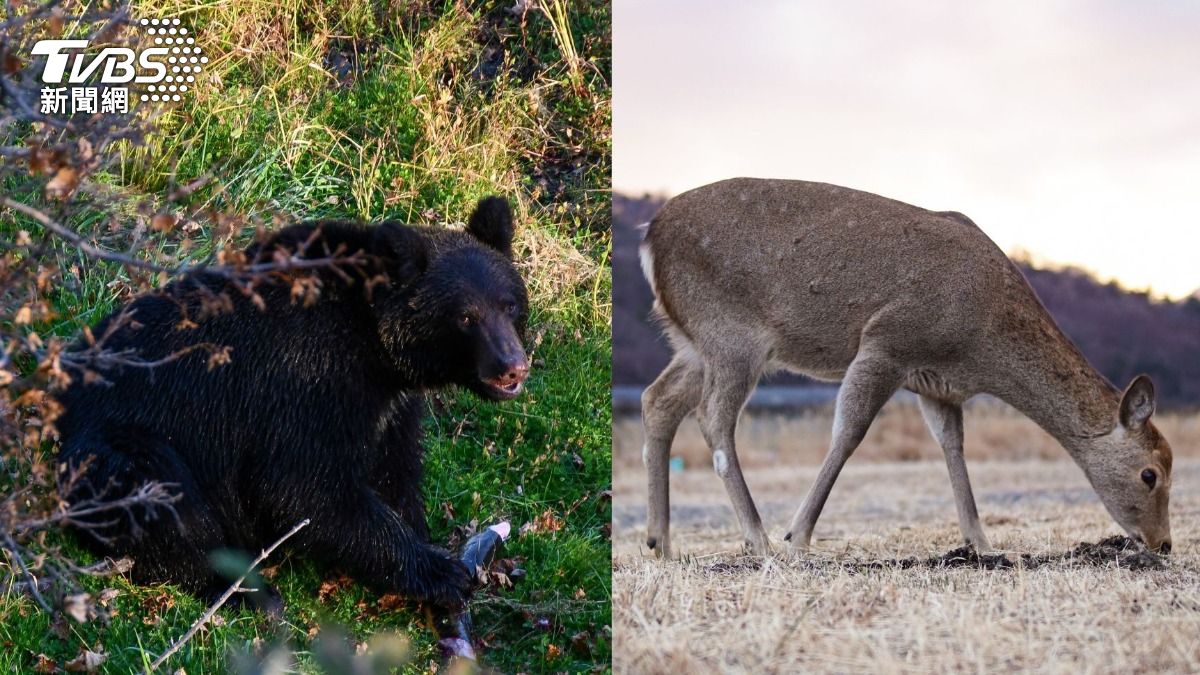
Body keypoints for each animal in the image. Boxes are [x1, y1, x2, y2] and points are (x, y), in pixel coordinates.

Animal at [53, 196, 529, 612]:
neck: (375, 349)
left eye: (509, 305)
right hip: (119, 442)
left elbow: (393, 469)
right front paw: (441, 572)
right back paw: (245, 591)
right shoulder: (306, 383)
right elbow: (303, 488)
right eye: (465, 316)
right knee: (164, 500)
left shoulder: (387, 406)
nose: (512, 367)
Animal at [638, 177, 1173, 559]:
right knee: (712, 418)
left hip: (691, 342)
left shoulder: (937, 385)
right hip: (731, 333)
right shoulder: (887, 342)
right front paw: (800, 536)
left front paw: (981, 544)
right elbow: (849, 432)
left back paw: (660, 543)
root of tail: (650, 236)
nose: (1164, 543)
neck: (980, 347)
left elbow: (953, 447)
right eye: (1150, 474)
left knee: (656, 400)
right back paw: (758, 538)